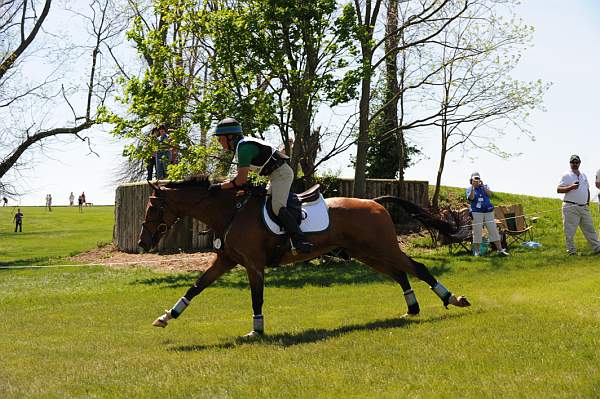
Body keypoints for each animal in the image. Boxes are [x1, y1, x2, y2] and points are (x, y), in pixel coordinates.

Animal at [138, 177, 472, 338]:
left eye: (154, 208)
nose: (143, 242)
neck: (229, 212)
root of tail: (375, 202)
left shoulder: (254, 265)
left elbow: (256, 298)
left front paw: (256, 330)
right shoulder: (226, 261)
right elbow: (195, 287)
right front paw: (166, 317)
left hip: (381, 248)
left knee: (418, 267)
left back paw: (453, 299)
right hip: (365, 253)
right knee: (401, 273)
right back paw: (412, 309)